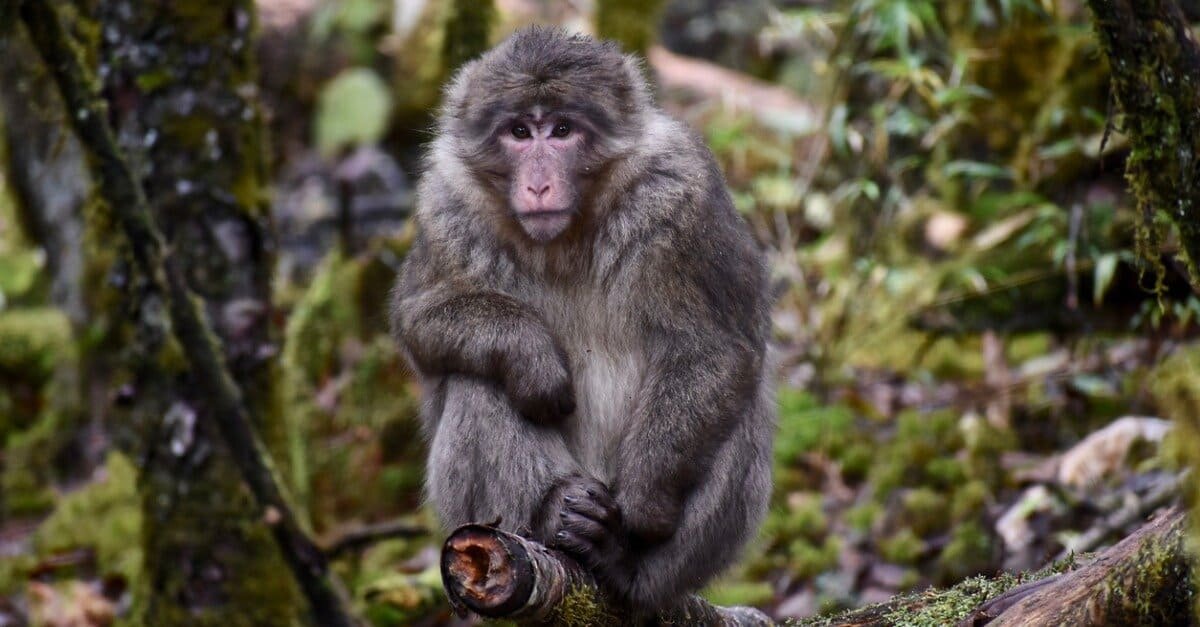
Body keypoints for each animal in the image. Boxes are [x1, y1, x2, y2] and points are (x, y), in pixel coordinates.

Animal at [388, 28, 772, 610]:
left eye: (563, 131)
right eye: (520, 132)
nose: (539, 185)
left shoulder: (681, 194)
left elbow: (714, 346)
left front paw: (643, 504)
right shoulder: (445, 205)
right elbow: (419, 319)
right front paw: (529, 352)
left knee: (738, 404)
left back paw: (622, 560)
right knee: (477, 382)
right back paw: (555, 511)